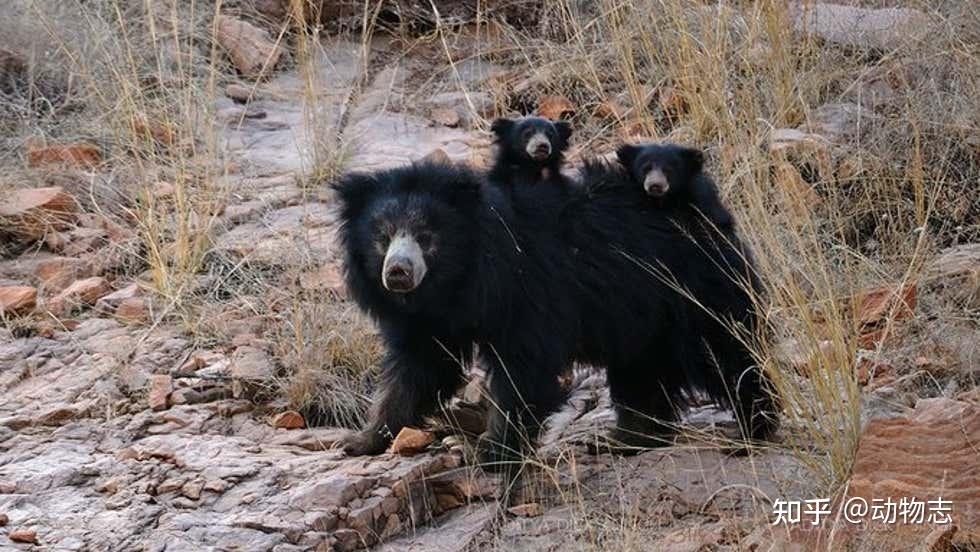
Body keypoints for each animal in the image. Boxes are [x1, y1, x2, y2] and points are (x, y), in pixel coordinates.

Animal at [334, 157, 776, 468]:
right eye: (381, 237)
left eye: (426, 237)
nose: (397, 273)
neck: (460, 280)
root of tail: (709, 208)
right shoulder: (430, 319)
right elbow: (418, 368)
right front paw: (359, 441)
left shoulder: (527, 290)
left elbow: (522, 368)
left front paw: (490, 451)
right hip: (641, 317)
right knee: (639, 373)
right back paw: (623, 439)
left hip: (690, 290)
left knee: (724, 352)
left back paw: (751, 430)